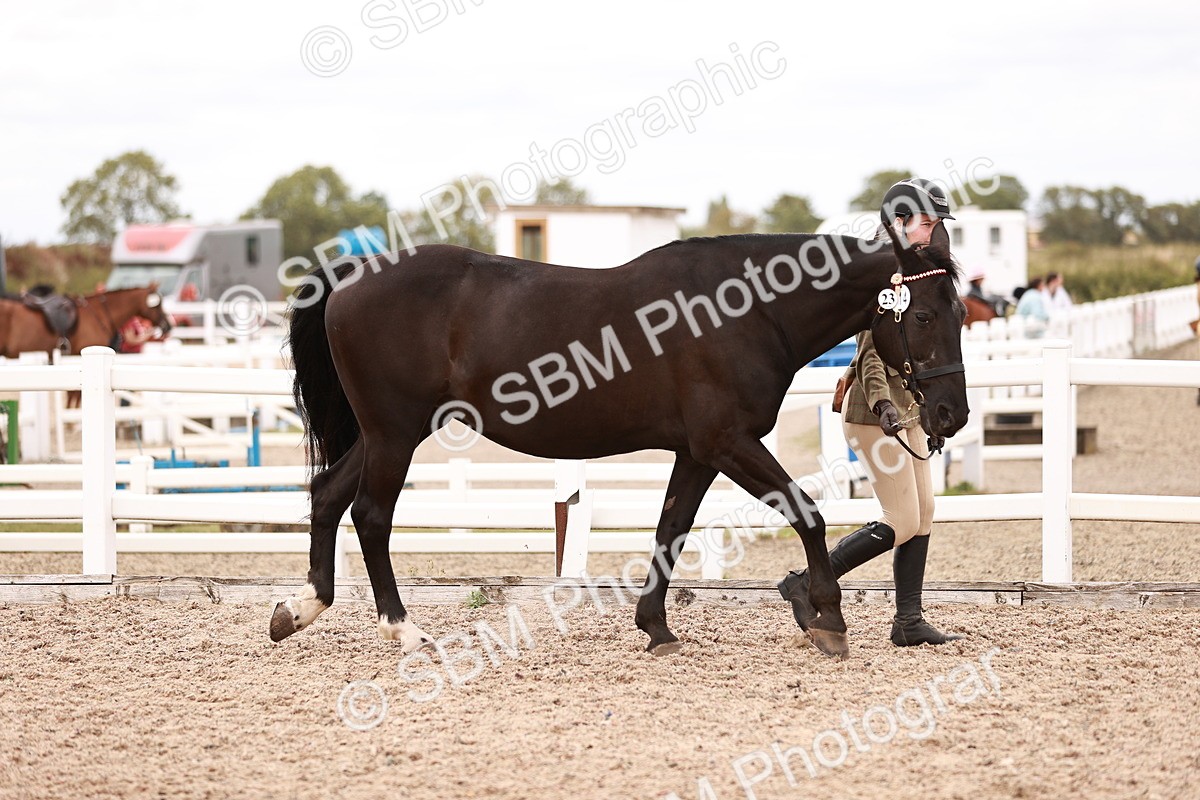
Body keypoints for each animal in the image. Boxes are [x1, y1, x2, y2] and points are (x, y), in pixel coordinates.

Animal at [272, 224, 968, 660]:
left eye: (962, 312)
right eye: (922, 314)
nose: (951, 414)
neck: (743, 309)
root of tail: (352, 275)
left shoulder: (698, 451)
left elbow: (671, 527)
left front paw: (655, 627)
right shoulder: (728, 442)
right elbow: (808, 513)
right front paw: (826, 618)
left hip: (389, 431)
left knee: (327, 495)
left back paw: (300, 610)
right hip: (394, 433)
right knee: (370, 514)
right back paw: (404, 631)